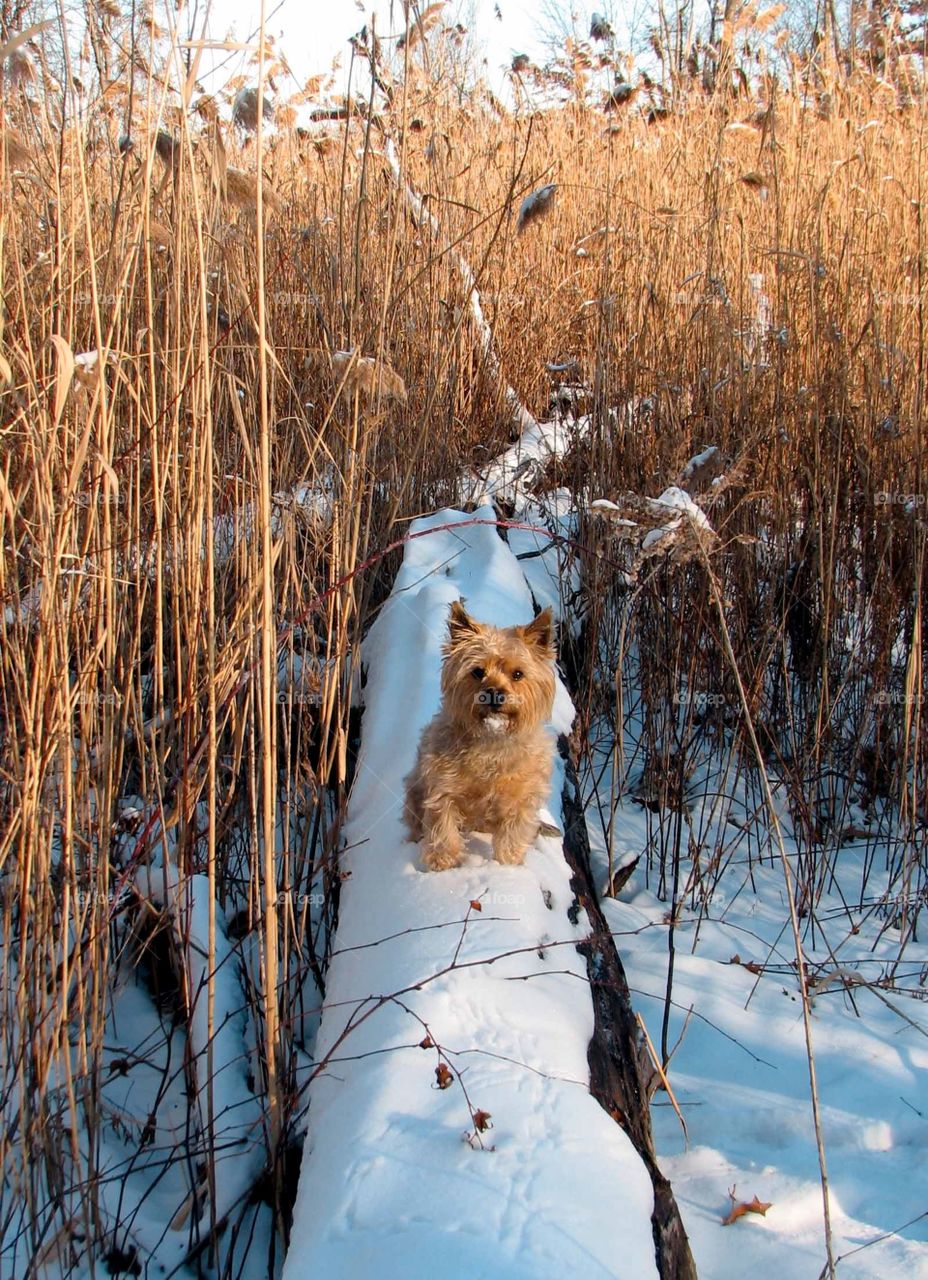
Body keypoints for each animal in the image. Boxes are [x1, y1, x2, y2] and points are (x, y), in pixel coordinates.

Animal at [401, 599, 552, 870]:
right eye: (478, 672)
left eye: (518, 674)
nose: (494, 693)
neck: (491, 741)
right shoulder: (442, 789)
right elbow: (443, 827)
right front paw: (443, 863)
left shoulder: (522, 799)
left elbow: (513, 835)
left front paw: (508, 864)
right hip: (414, 791)